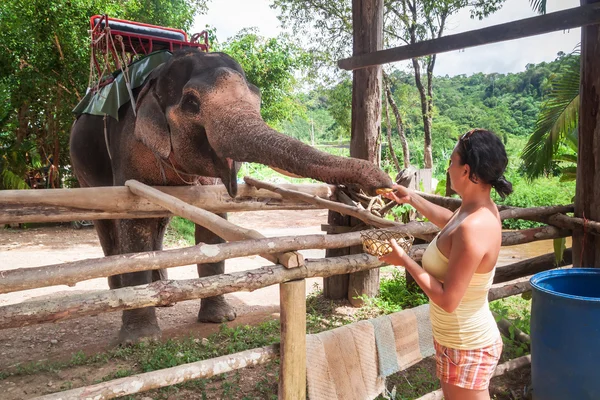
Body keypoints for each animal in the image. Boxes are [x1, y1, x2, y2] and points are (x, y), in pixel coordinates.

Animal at [69, 47, 394, 344]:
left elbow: (212, 220)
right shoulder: (128, 148)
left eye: (257, 98)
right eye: (191, 103)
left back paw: (164, 296)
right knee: (108, 224)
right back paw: (121, 292)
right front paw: (141, 339)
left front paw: (220, 318)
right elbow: (134, 221)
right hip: (83, 171)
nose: (384, 182)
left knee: (159, 222)